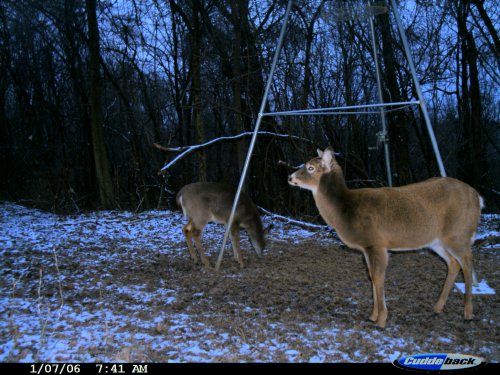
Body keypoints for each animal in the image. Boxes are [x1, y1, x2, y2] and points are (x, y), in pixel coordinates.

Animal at [288, 147, 482, 328]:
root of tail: (478, 198)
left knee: (467, 263)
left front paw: (381, 319)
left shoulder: (376, 243)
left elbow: (378, 277)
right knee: (454, 263)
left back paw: (468, 313)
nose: (290, 177)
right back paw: (437, 307)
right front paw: (373, 316)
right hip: (437, 241)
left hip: (458, 234)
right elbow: (371, 276)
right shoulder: (366, 248)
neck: (346, 209)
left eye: (310, 167)